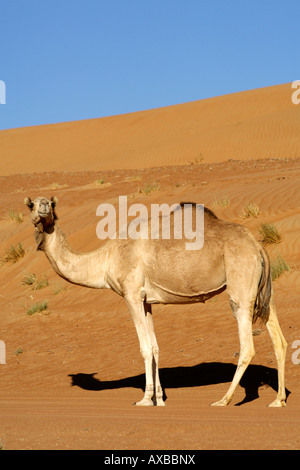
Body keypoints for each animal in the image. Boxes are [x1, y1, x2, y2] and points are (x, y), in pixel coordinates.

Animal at [24, 196, 288, 408]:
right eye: (31, 204)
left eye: (51, 203)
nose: (44, 206)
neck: (107, 257)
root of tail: (258, 246)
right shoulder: (146, 300)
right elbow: (156, 347)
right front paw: (159, 399)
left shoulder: (131, 294)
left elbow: (145, 347)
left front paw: (144, 399)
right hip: (264, 292)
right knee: (279, 340)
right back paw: (278, 400)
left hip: (240, 287)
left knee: (247, 346)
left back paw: (223, 400)